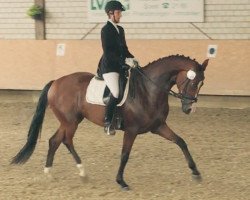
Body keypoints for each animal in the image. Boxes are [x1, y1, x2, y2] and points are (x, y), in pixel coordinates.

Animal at [10, 55, 208, 191]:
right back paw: (80, 172)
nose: (190, 109)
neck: (148, 90)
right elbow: (125, 155)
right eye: (193, 82)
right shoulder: (131, 130)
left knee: (55, 140)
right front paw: (121, 182)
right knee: (66, 140)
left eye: (201, 84)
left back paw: (50, 172)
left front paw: (196, 172)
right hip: (71, 122)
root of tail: (56, 82)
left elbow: (181, 141)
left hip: (70, 120)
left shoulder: (158, 127)